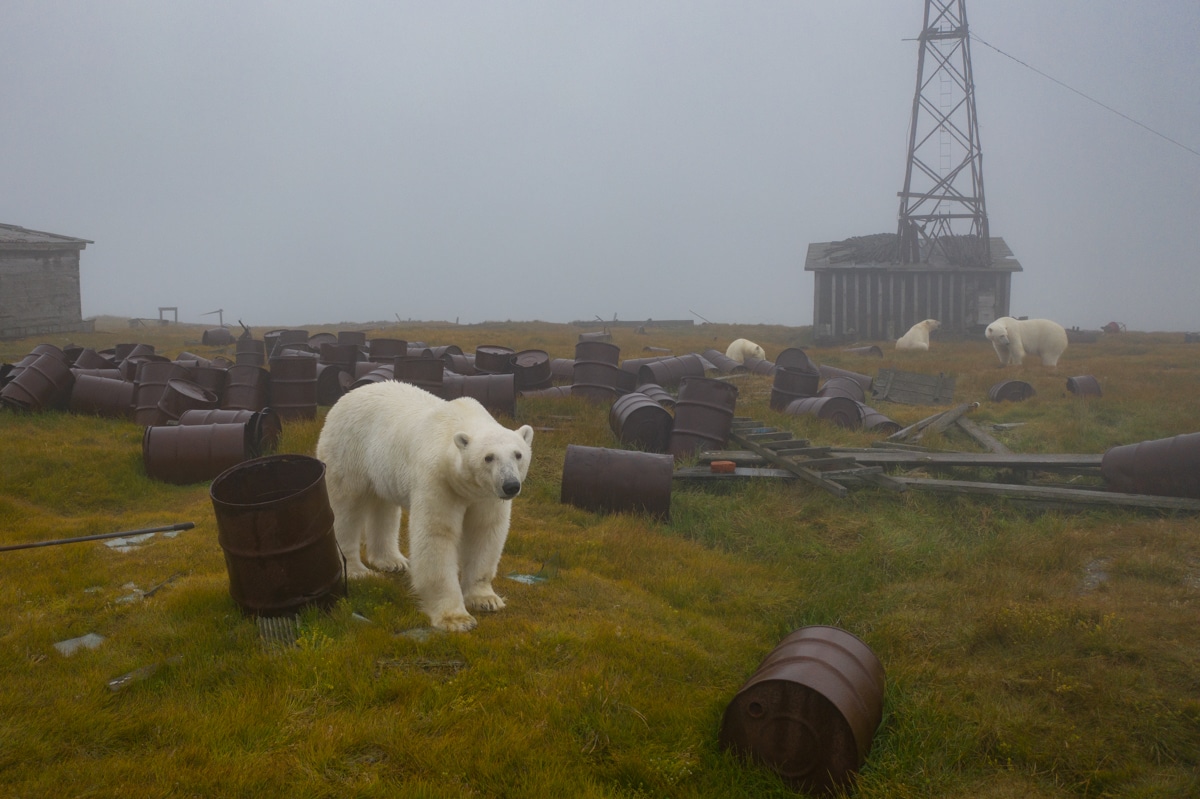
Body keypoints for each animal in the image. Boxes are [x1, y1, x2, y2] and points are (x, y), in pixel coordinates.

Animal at [316, 379, 532, 628]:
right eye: (489, 457)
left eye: (518, 454)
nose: (511, 485)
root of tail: (348, 394)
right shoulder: (438, 480)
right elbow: (436, 534)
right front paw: (455, 618)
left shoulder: (486, 495)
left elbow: (484, 532)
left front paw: (486, 599)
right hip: (347, 450)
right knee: (346, 507)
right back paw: (357, 570)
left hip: (383, 466)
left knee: (384, 506)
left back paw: (393, 561)